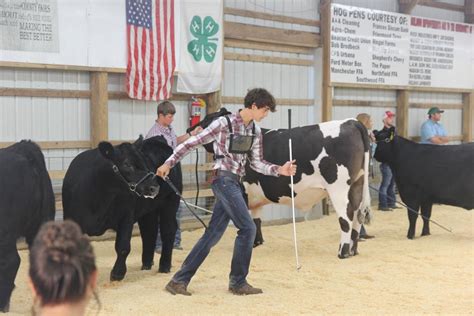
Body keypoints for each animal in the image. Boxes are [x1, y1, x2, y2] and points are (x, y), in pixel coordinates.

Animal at [63, 137, 181, 280]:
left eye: (144, 162)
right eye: (127, 164)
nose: (154, 187)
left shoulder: (126, 217)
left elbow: (123, 247)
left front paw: (117, 273)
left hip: (171, 202)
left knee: (168, 230)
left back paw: (164, 266)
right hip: (148, 210)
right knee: (149, 231)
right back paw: (146, 264)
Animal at [188, 111, 370, 260]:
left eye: (207, 120)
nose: (190, 129)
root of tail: (352, 122)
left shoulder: (243, 191)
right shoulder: (254, 195)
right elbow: (256, 220)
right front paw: (256, 243)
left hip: (339, 188)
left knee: (346, 217)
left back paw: (343, 252)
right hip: (358, 183)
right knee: (357, 215)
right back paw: (353, 250)